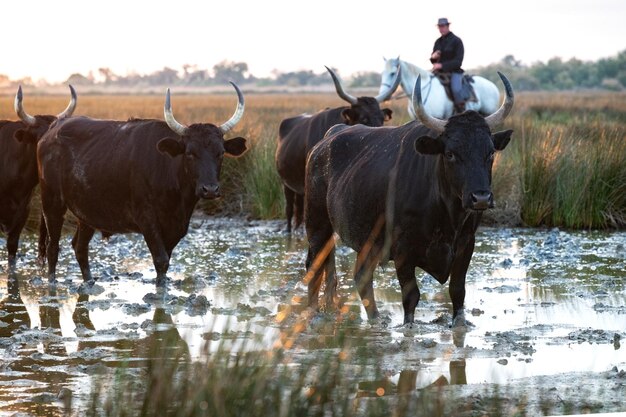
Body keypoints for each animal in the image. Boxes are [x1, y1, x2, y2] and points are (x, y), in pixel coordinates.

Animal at [36, 82, 246, 282]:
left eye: (220, 153)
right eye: (190, 153)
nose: (210, 189)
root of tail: (53, 128)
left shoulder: (174, 229)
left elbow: (166, 260)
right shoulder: (146, 219)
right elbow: (161, 260)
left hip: (86, 212)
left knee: (79, 247)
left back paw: (89, 282)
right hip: (52, 203)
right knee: (53, 247)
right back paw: (52, 282)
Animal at [302, 70, 512, 324]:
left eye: (490, 152)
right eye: (450, 153)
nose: (480, 197)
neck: (446, 215)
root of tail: (328, 138)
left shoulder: (466, 243)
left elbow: (457, 292)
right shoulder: (403, 249)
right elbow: (411, 297)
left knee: (360, 275)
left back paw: (375, 318)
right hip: (317, 224)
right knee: (314, 266)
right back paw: (313, 312)